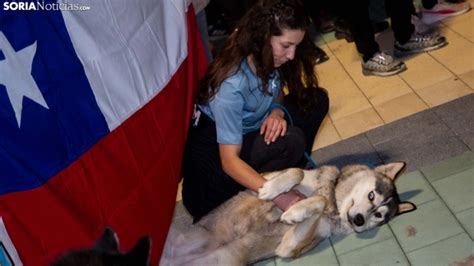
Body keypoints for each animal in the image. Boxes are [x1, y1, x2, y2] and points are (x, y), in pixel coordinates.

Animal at [162, 162, 414, 264]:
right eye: (371, 196)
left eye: (378, 216)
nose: (360, 220)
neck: (334, 201)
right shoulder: (264, 175)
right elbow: (296, 172)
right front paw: (271, 190)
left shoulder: (288, 247)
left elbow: (318, 201)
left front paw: (294, 212)